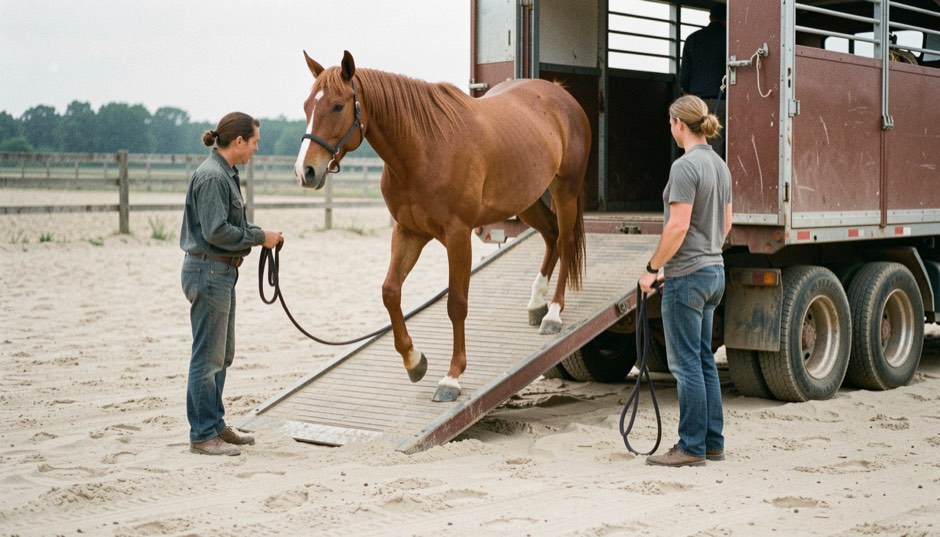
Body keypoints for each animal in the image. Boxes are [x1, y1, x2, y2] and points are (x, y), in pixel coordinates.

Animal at [294, 50, 590, 402]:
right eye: (306, 105)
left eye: (338, 106)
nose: (305, 171)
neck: (424, 150)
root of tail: (560, 94)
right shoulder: (408, 233)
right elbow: (390, 292)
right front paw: (414, 361)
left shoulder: (458, 236)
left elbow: (456, 305)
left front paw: (451, 378)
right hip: (526, 200)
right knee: (551, 235)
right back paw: (536, 305)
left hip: (565, 191)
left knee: (565, 243)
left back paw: (554, 314)